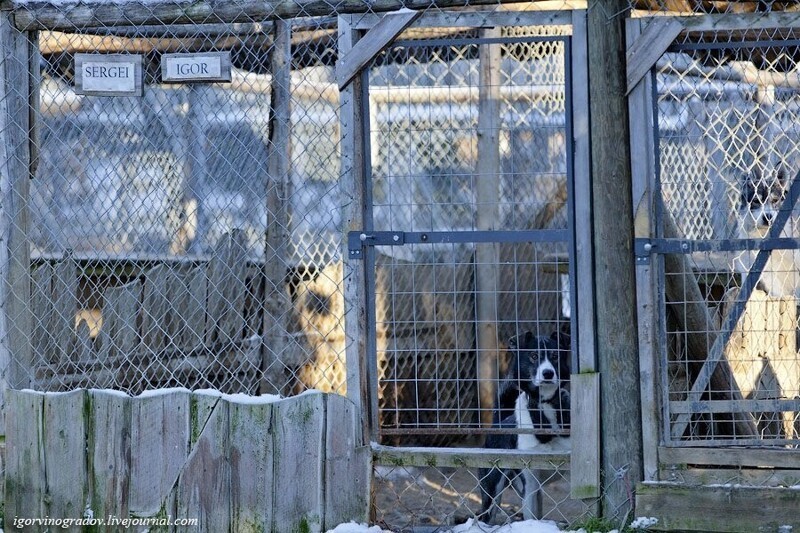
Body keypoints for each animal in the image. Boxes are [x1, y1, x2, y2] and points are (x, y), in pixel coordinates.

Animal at [478, 328, 572, 524]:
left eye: (555, 355)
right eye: (534, 355)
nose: (548, 373)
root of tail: (499, 422)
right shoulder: (529, 481)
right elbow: (530, 514)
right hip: (492, 489)